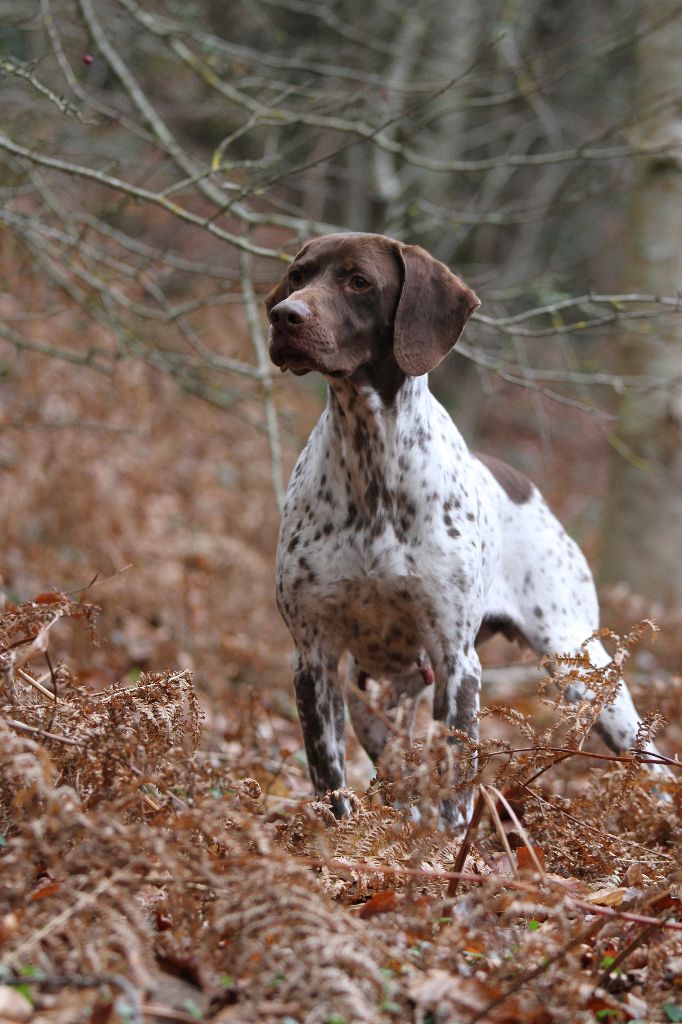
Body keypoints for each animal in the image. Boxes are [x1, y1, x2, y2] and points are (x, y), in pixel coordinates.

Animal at [264, 230, 663, 823]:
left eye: (358, 281)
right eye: (297, 276)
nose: (284, 316)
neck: (372, 463)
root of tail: (526, 484)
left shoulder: (456, 660)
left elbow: (455, 787)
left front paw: (449, 846)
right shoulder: (313, 657)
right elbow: (331, 784)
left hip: (583, 669)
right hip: (375, 694)